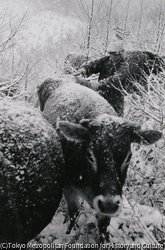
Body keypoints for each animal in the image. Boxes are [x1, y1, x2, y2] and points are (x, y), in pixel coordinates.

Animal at [36, 78, 162, 242]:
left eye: (128, 157)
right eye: (90, 155)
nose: (109, 204)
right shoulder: (68, 186)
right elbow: (74, 213)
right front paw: (69, 233)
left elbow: (102, 226)